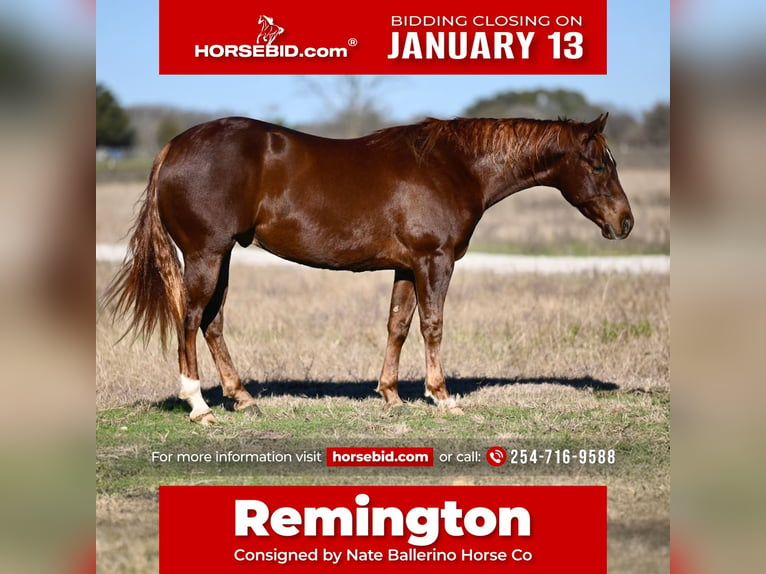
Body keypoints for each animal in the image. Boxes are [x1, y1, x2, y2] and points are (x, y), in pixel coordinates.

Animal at [108, 115, 636, 426]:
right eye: (599, 165)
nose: (625, 222)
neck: (453, 166)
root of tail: (173, 147)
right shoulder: (434, 261)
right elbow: (432, 325)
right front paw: (441, 395)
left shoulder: (406, 267)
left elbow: (398, 326)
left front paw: (391, 394)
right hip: (206, 255)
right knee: (191, 318)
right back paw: (198, 405)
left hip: (223, 256)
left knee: (212, 322)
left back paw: (242, 397)